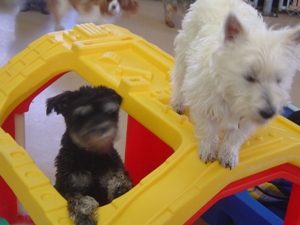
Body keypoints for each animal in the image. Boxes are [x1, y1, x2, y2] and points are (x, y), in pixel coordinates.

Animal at [46, 85, 132, 225]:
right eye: (81, 116)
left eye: (110, 112)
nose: (103, 129)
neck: (91, 156)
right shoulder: (67, 187)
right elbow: (79, 200)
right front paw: (85, 216)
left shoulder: (115, 168)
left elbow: (118, 176)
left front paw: (120, 188)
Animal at [171, 0, 300, 168]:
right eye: (249, 77)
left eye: (279, 80)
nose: (268, 113)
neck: (233, 96)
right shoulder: (205, 102)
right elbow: (208, 130)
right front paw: (208, 151)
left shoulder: (245, 119)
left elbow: (234, 137)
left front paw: (228, 156)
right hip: (184, 51)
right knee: (178, 78)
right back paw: (177, 104)